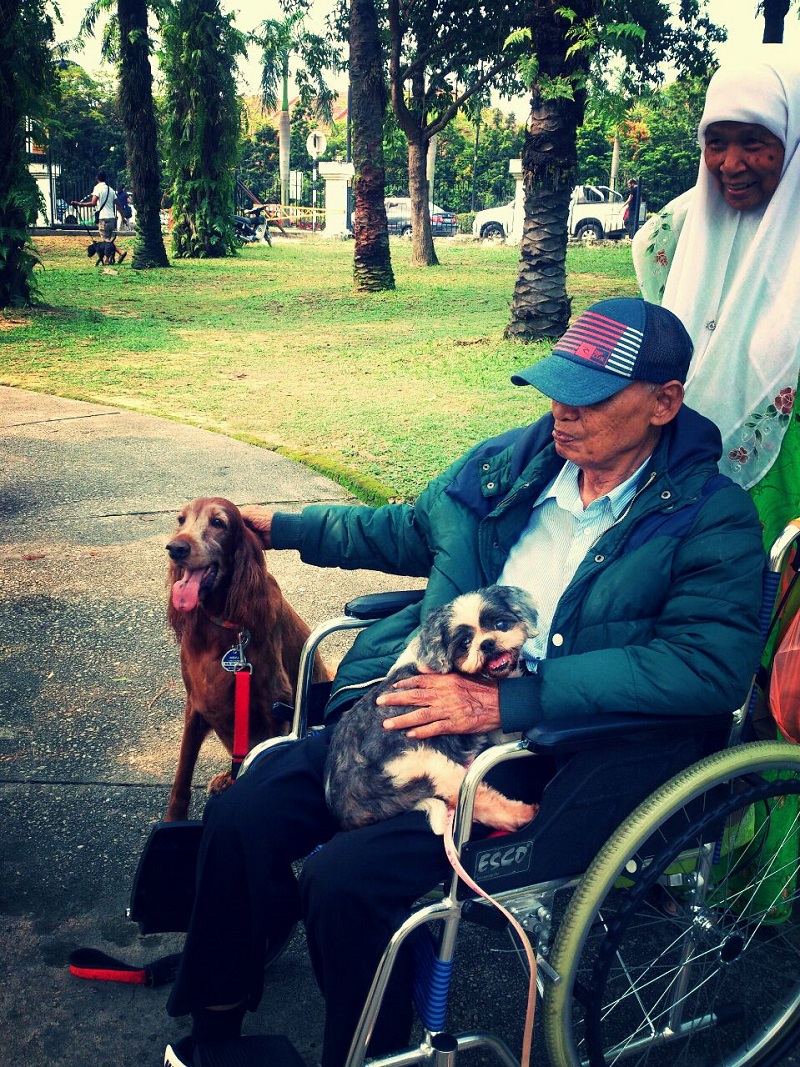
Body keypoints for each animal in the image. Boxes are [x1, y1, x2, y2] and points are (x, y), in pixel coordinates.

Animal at [164, 495, 330, 819]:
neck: (222, 622)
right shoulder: (196, 704)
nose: (176, 548)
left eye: (218, 523)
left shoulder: (276, 708)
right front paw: (172, 819)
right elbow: (182, 776)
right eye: (181, 520)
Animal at [324, 588, 539, 836]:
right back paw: (523, 815)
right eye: (465, 642)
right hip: (427, 763)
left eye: (500, 624)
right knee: (479, 800)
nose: (487, 643)